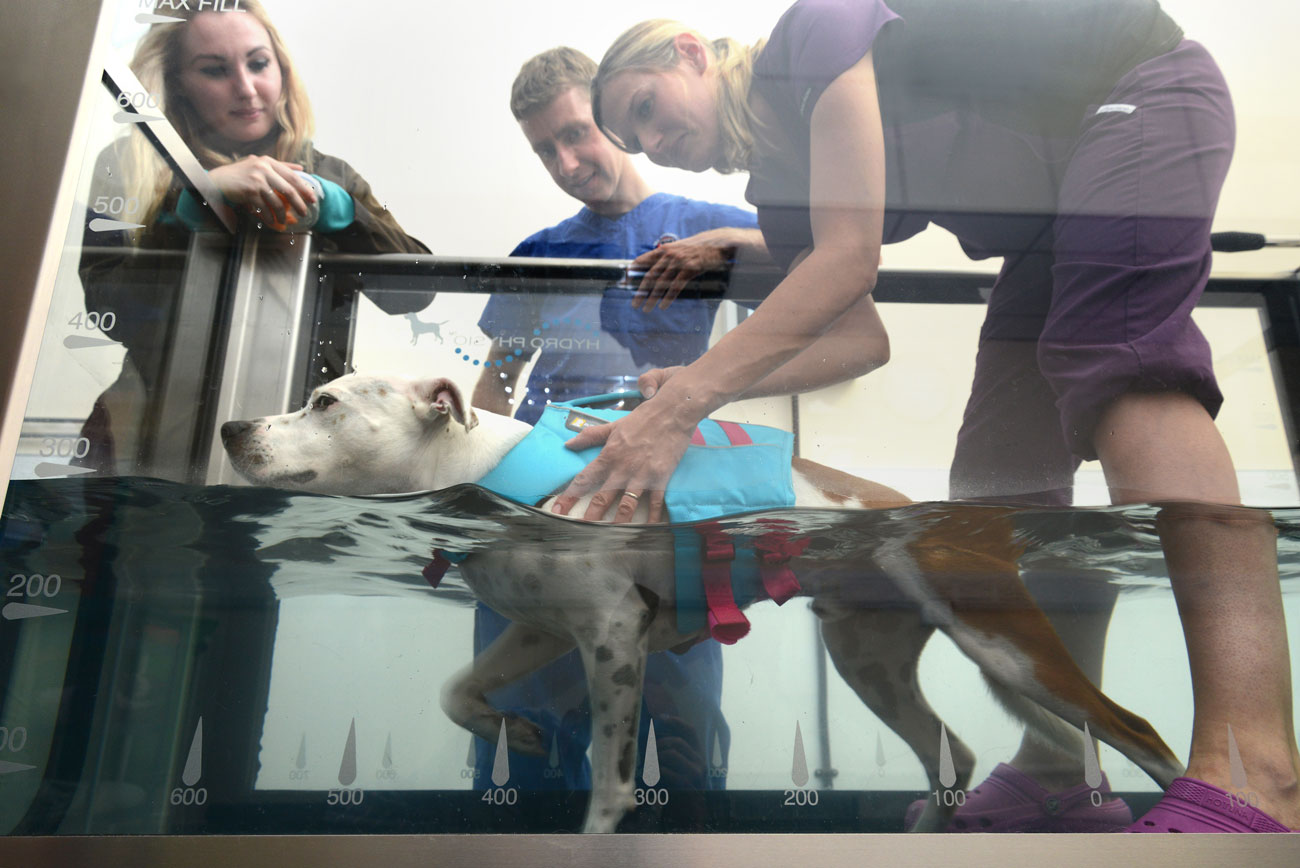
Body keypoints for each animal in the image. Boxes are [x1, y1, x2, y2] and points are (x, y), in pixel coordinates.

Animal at [226, 374, 1190, 831]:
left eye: (324, 399)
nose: (234, 428)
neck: (476, 473)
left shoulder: (613, 637)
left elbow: (613, 783)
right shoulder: (539, 630)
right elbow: (456, 693)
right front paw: (519, 732)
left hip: (1003, 641)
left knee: (1138, 732)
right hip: (869, 662)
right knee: (950, 755)